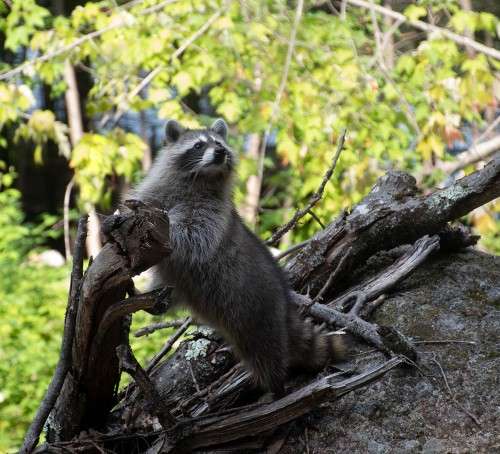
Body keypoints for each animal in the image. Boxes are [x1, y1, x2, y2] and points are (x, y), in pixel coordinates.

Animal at [130, 119, 344, 394]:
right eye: (199, 145)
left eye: (219, 143)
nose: (220, 152)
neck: (201, 178)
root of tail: (284, 305)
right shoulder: (158, 192)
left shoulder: (212, 214)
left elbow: (194, 237)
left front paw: (171, 230)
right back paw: (155, 301)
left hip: (257, 314)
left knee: (266, 353)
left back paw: (275, 387)